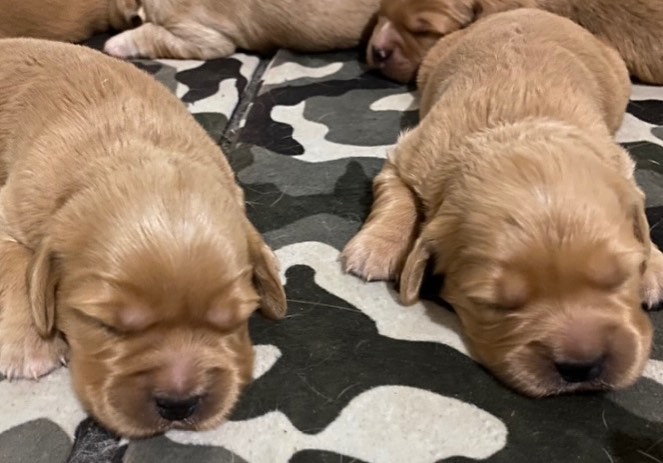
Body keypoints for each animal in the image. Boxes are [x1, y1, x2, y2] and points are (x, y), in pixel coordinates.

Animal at [0, 38, 287, 437]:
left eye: (233, 319)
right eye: (105, 325)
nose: (179, 404)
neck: (129, 148)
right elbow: (15, 260)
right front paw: (31, 343)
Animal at [343, 9, 663, 397]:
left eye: (621, 277)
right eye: (494, 305)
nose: (581, 366)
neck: (517, 124)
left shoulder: (618, 163)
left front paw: (655, 265)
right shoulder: (411, 153)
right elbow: (397, 192)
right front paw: (377, 247)